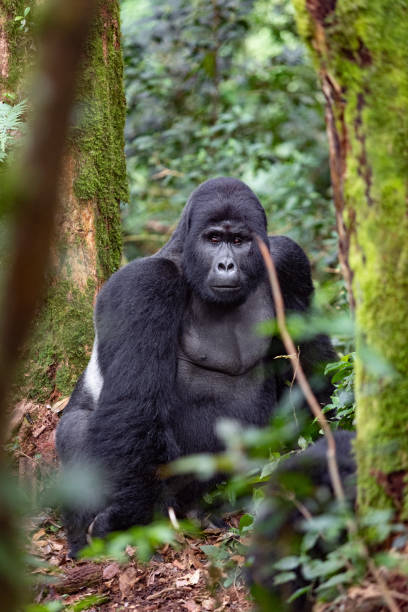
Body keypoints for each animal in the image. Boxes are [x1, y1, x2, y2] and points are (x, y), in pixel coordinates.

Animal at [55, 175, 334, 556]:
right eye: (213, 239)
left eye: (239, 241)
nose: (226, 265)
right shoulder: (145, 284)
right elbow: (134, 407)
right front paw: (125, 519)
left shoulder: (289, 262)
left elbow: (310, 364)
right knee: (78, 427)